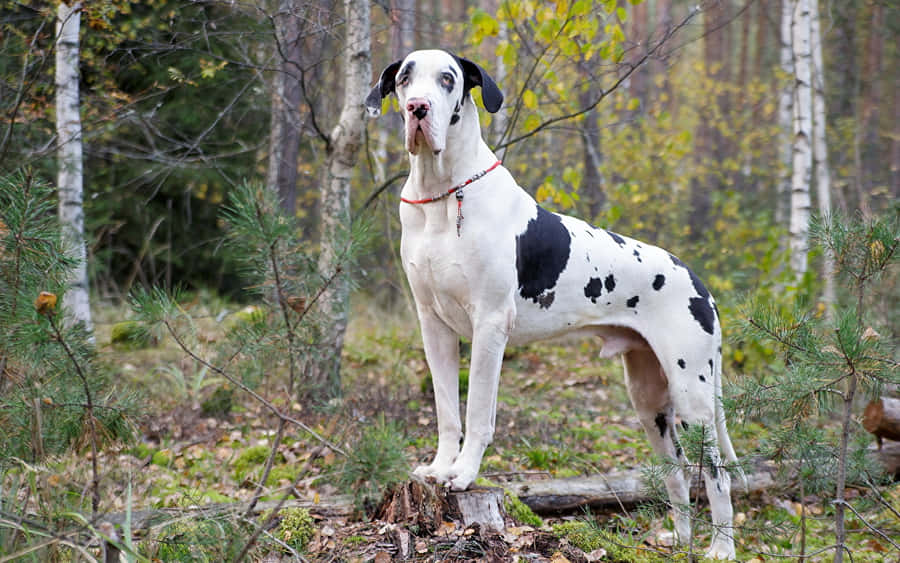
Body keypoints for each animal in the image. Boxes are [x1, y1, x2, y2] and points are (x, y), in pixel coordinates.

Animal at [366, 48, 740, 560]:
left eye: (447, 79)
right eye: (405, 78)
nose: (417, 109)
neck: (443, 194)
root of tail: (699, 283)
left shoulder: (489, 327)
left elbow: (477, 413)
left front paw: (464, 474)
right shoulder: (434, 327)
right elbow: (446, 411)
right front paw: (441, 468)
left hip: (694, 394)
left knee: (717, 473)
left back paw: (720, 547)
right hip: (650, 401)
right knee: (679, 469)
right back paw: (678, 540)